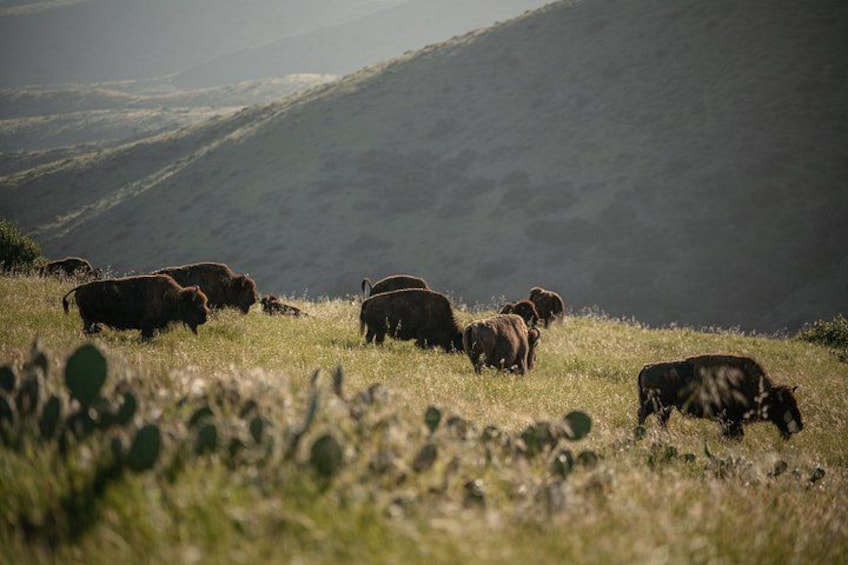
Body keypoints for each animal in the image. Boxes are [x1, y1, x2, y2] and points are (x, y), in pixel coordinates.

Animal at [62, 274, 210, 340]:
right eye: (197, 305)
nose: (206, 317)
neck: (173, 297)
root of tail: (80, 287)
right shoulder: (148, 326)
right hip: (89, 319)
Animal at [636, 354, 803, 440]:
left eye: (795, 402)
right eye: (785, 406)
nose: (799, 426)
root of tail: (646, 367)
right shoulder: (730, 418)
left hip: (664, 407)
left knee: (659, 420)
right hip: (657, 405)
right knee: (644, 415)